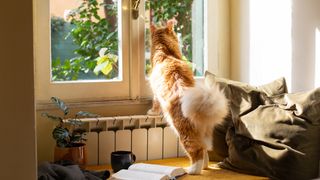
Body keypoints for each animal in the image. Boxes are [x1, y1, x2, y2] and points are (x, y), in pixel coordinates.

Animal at [146, 19, 229, 174]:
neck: (166, 53)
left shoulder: (155, 93)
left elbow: (154, 105)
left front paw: (151, 112)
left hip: (184, 134)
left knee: (197, 153)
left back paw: (192, 170)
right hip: (202, 135)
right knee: (204, 152)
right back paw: (204, 166)